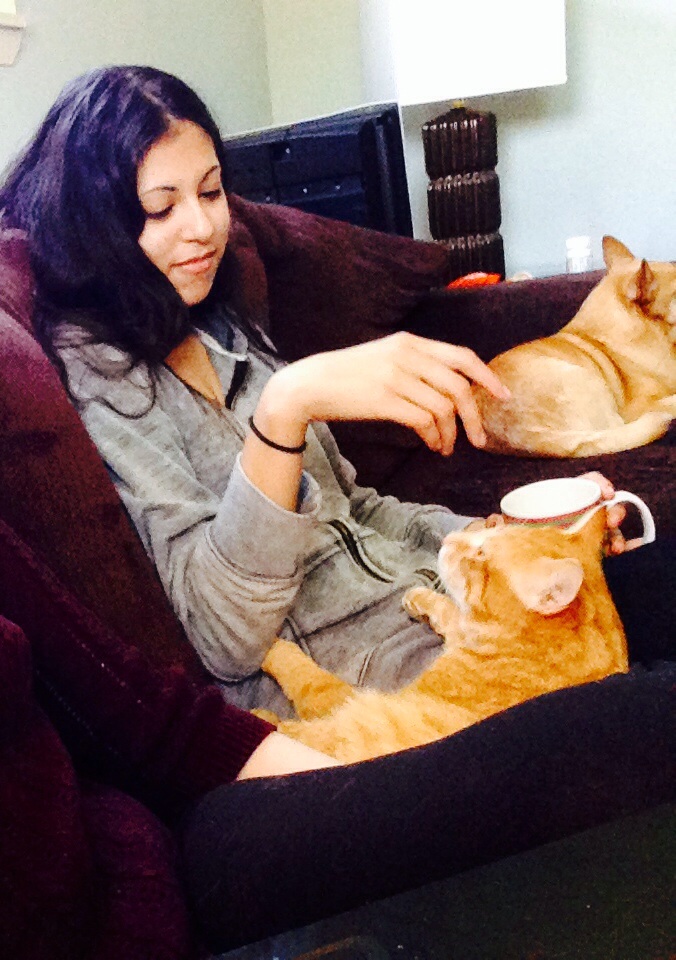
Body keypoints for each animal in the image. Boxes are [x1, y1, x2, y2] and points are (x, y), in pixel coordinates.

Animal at [259, 511, 629, 762]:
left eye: (480, 557)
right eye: (490, 531)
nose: (450, 539)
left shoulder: (344, 703)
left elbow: (303, 675)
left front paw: (270, 647)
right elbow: (450, 612)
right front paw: (420, 598)